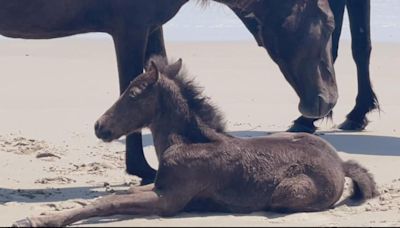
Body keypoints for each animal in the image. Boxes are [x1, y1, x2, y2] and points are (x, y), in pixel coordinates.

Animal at [0, 0, 338, 183]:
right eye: (331, 24)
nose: (329, 100)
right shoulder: (130, 29)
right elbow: (129, 82)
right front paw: (141, 168)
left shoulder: (150, 27)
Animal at [13, 56, 378, 226]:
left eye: (132, 94)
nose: (99, 126)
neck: (183, 141)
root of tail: (340, 162)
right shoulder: (160, 186)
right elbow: (121, 194)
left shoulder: (168, 200)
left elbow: (108, 204)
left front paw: (35, 219)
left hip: (287, 193)